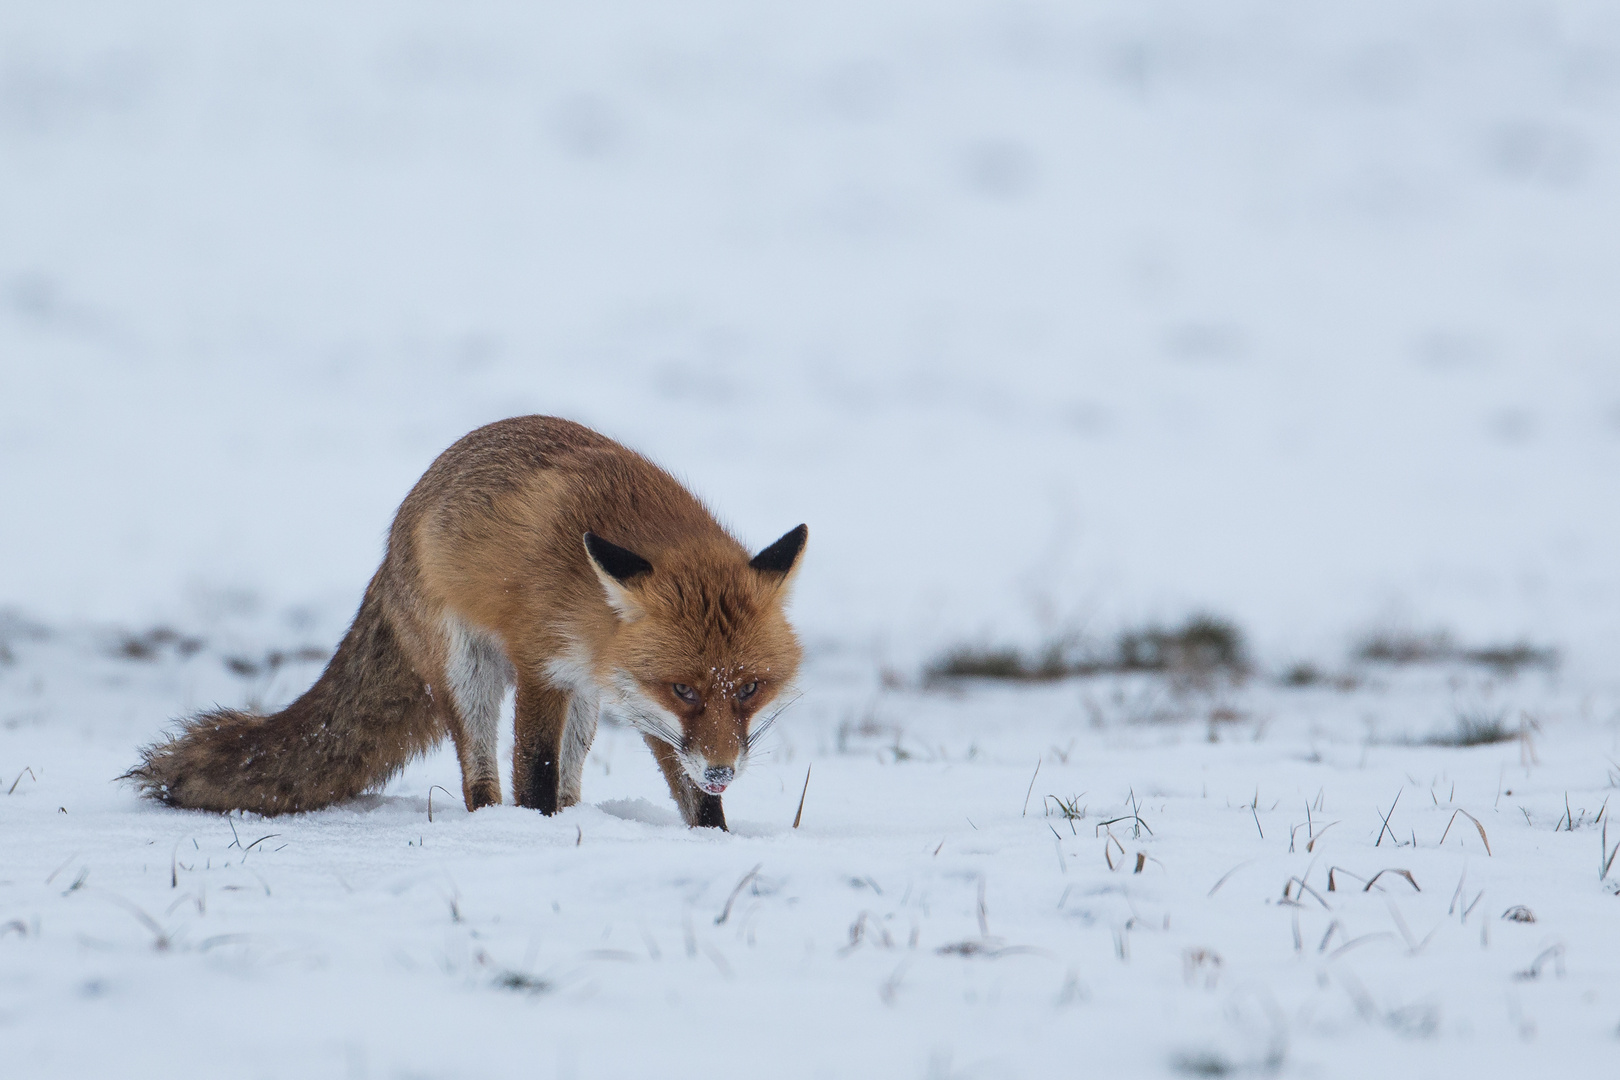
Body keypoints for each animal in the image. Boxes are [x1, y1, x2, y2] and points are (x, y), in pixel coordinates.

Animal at [123, 417, 806, 835]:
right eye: (684, 689)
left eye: (748, 689)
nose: (723, 770)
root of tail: (391, 542)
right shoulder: (542, 666)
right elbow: (534, 768)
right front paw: (539, 836)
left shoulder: (637, 701)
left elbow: (692, 798)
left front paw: (715, 839)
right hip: (469, 675)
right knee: (481, 782)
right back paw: (500, 828)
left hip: (585, 704)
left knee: (571, 780)